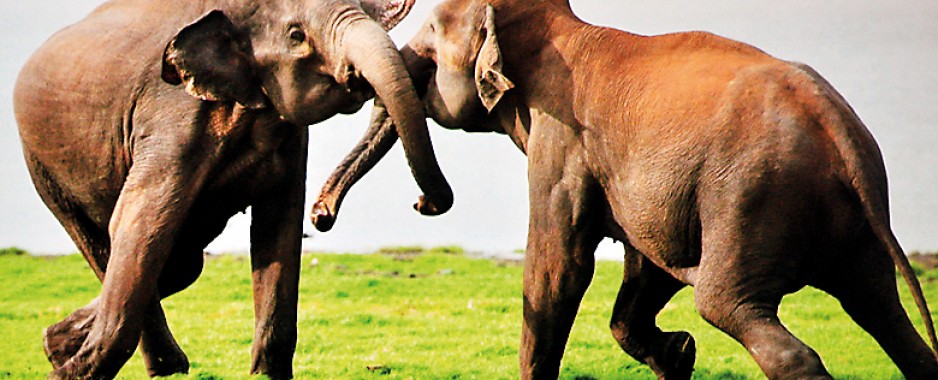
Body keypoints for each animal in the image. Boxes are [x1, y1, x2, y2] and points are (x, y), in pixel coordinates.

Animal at [12, 0, 454, 378]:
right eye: (296, 36)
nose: (423, 203)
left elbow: (278, 229)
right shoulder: (171, 118)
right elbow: (139, 222)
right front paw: (65, 377)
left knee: (182, 264)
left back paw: (62, 345)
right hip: (45, 168)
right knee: (116, 245)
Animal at [312, 0, 936, 380]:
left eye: (430, 39)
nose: (320, 217)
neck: (564, 30)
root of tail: (838, 130)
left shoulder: (561, 141)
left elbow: (558, 268)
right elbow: (649, 269)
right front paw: (679, 354)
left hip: (751, 199)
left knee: (730, 305)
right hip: (845, 222)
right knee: (886, 316)